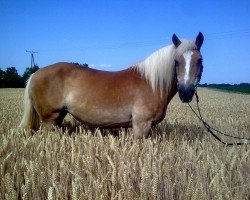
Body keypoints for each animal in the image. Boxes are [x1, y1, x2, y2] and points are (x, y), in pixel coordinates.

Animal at [19, 33, 203, 139]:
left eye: (199, 60)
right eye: (176, 61)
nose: (186, 93)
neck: (152, 83)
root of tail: (35, 74)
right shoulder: (141, 125)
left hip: (59, 117)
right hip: (49, 120)